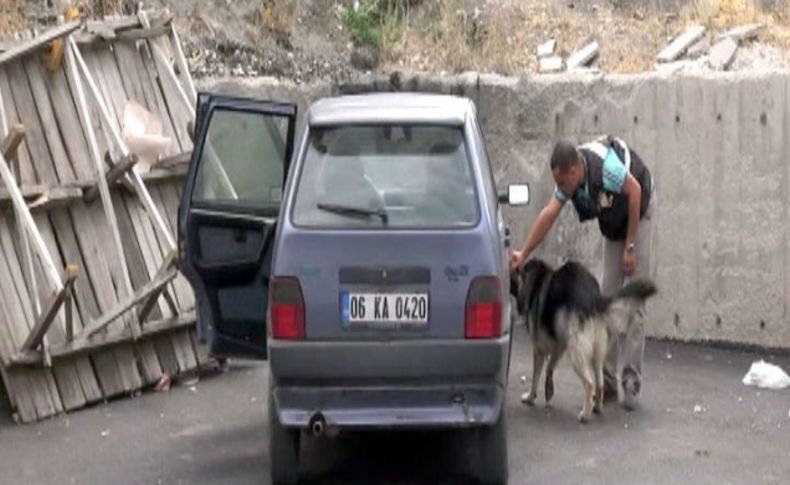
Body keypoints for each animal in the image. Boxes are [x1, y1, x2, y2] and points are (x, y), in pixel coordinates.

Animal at [510, 260, 660, 422]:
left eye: (515, 272)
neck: (537, 280)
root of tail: (594, 299)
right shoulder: (559, 345)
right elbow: (550, 368)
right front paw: (548, 390)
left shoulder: (539, 350)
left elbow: (535, 377)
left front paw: (530, 397)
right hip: (596, 353)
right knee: (599, 383)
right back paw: (597, 407)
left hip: (576, 350)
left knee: (589, 383)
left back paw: (585, 415)